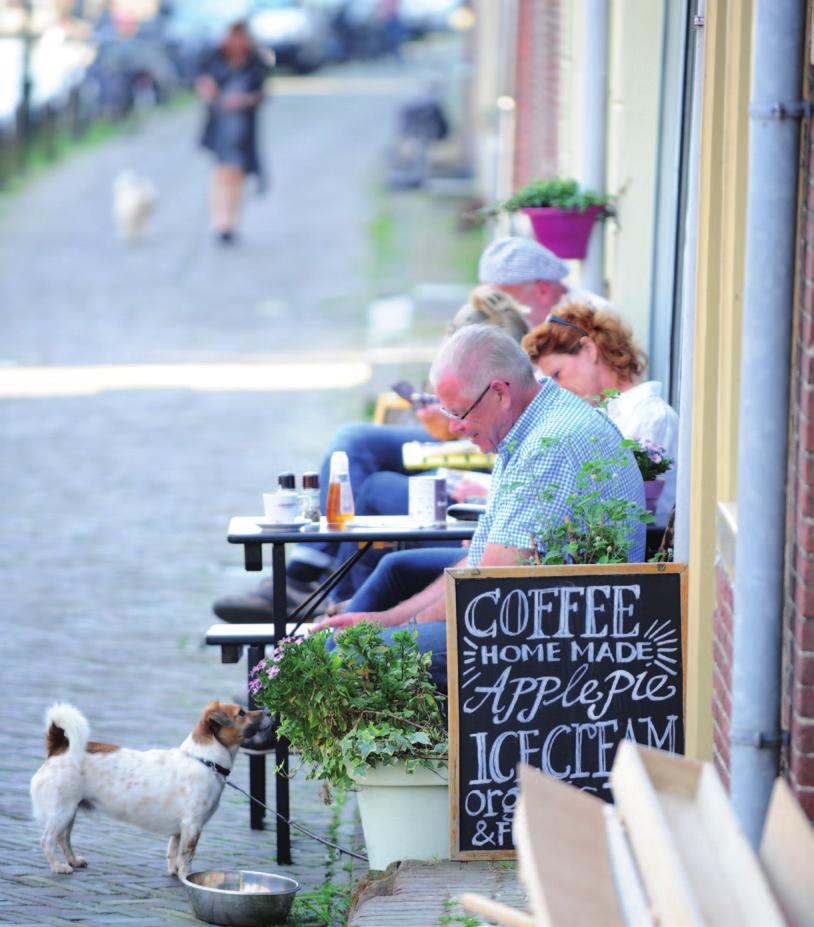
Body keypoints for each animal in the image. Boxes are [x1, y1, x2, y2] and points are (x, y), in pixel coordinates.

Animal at [29, 704, 268, 876]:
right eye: (241, 712)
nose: (267, 711)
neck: (204, 759)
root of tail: (59, 748)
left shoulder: (180, 829)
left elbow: (173, 851)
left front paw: (174, 872)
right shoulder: (193, 826)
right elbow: (186, 856)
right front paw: (186, 877)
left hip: (69, 810)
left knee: (64, 839)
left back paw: (73, 861)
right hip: (62, 811)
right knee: (47, 840)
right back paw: (58, 867)